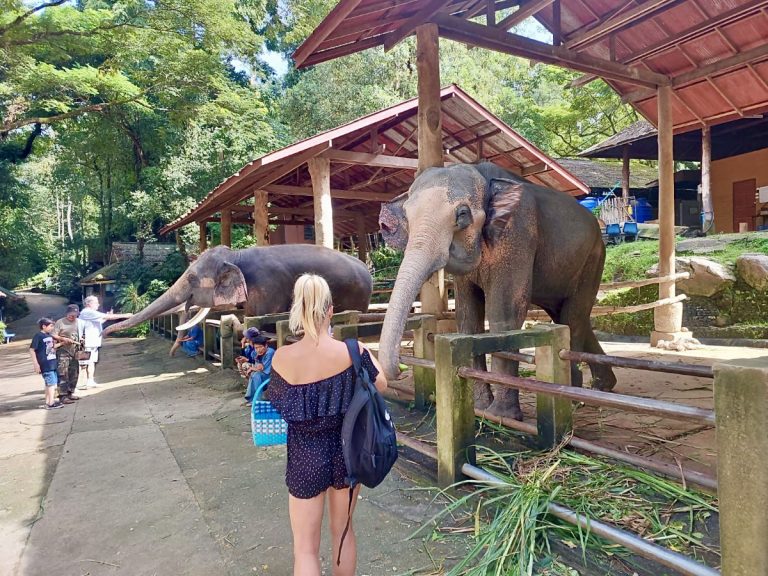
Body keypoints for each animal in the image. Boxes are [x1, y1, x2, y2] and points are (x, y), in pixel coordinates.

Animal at [104, 244, 373, 335]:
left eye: (191, 277)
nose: (106, 331)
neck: (235, 255)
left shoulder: (268, 287)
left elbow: (260, 323)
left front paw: (233, 321)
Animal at [377, 162, 616, 420]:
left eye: (462, 215)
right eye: (407, 216)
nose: (399, 370)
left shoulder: (517, 234)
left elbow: (504, 315)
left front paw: (503, 415)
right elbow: (468, 318)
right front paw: (481, 408)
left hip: (593, 259)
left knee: (573, 317)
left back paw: (573, 395)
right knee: (569, 316)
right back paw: (601, 387)